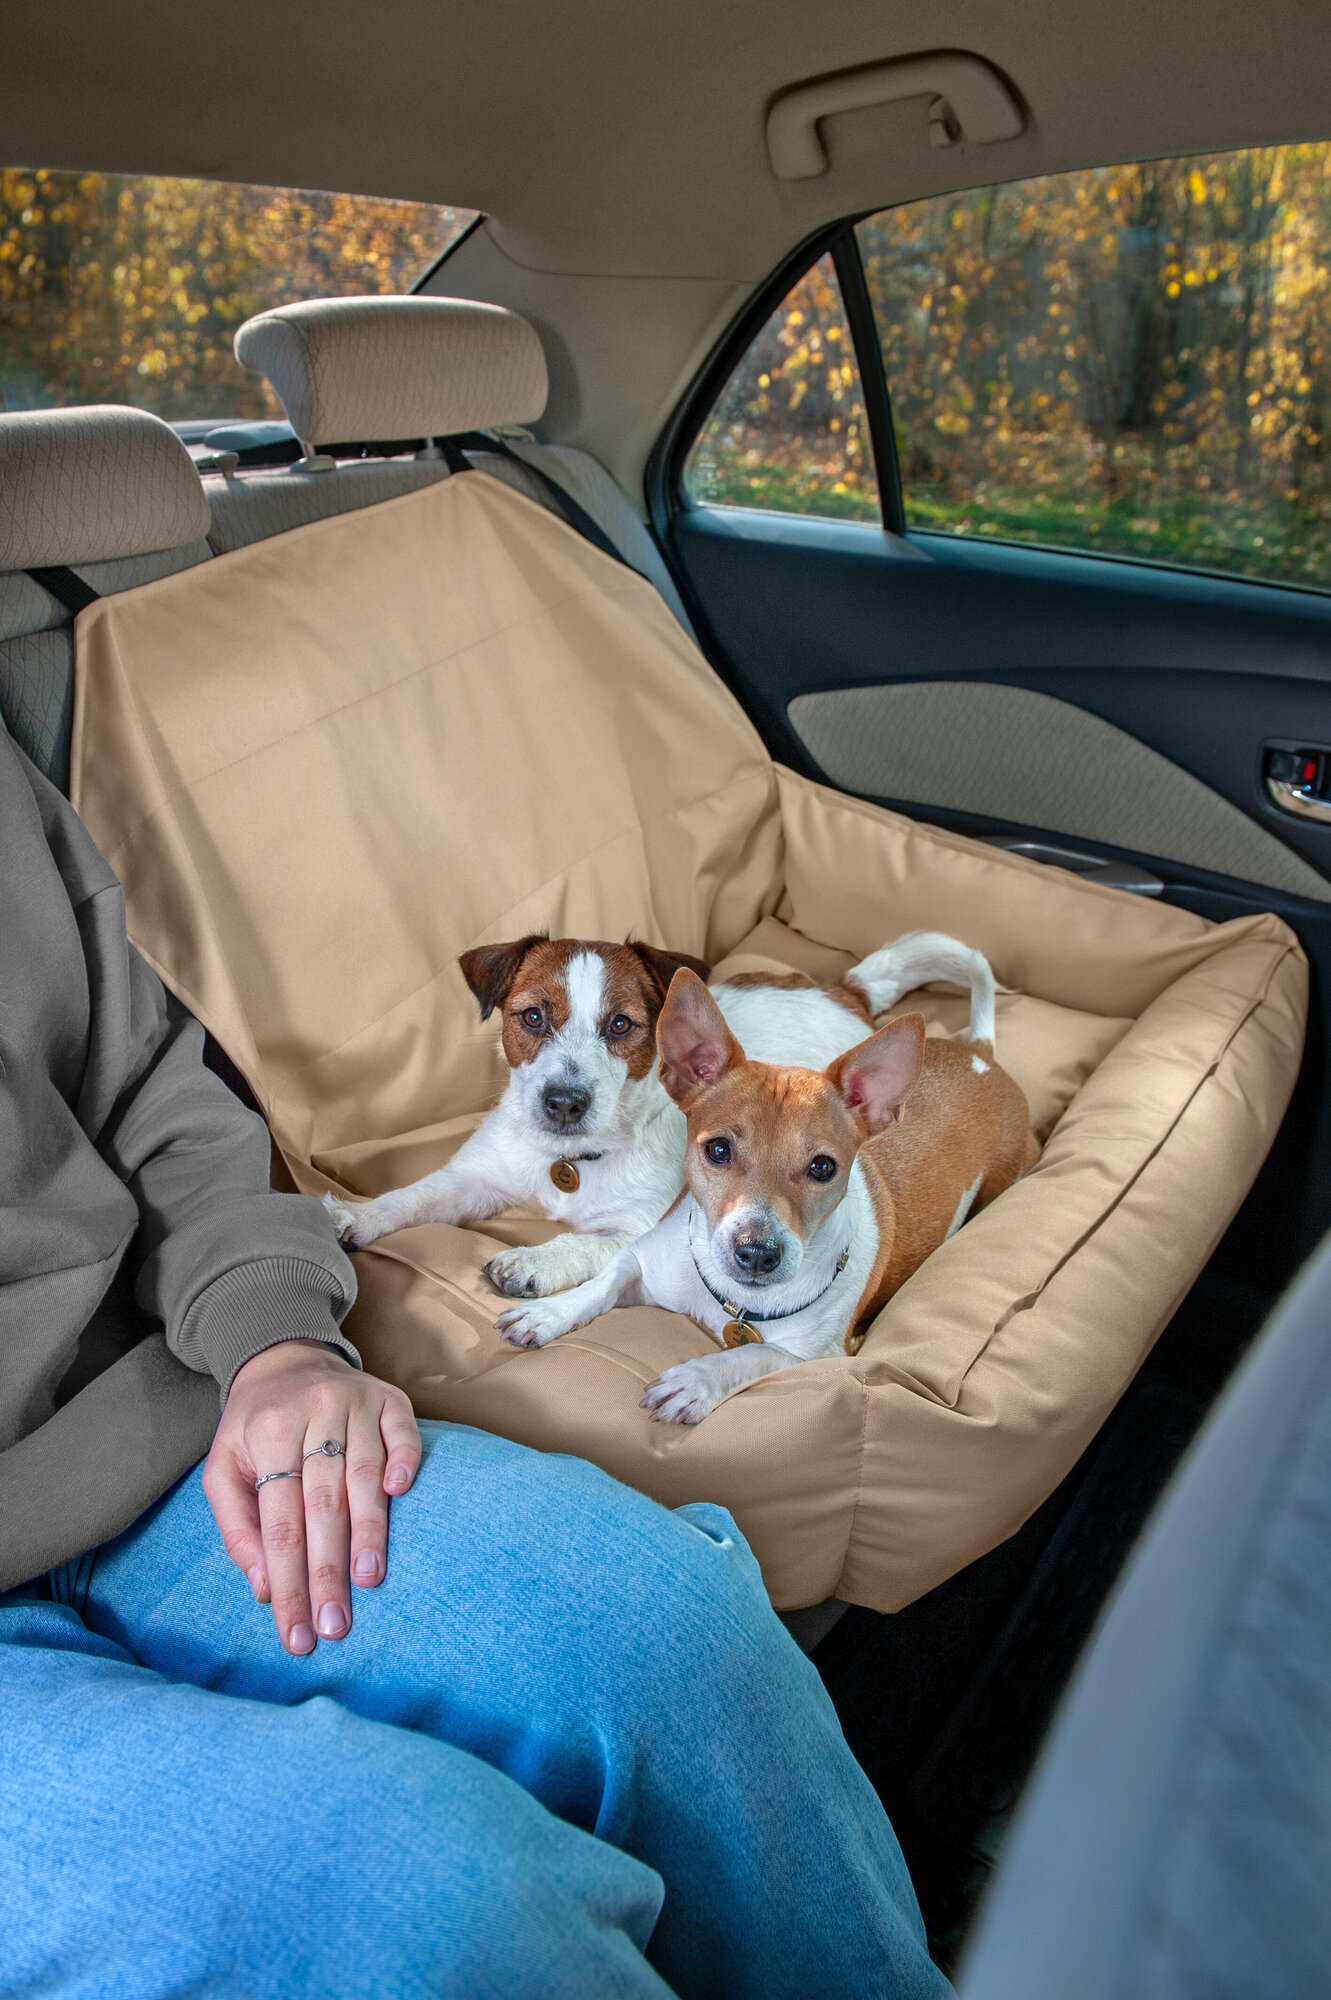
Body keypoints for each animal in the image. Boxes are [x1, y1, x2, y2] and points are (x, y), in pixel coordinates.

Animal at [491, 936, 1031, 1424]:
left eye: (823, 1167)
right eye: (718, 1150)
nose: (757, 1253)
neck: (739, 1304)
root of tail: (981, 1057)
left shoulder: (820, 1357)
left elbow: (751, 1356)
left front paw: (696, 1379)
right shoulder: (639, 1261)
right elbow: (600, 1285)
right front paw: (547, 1314)